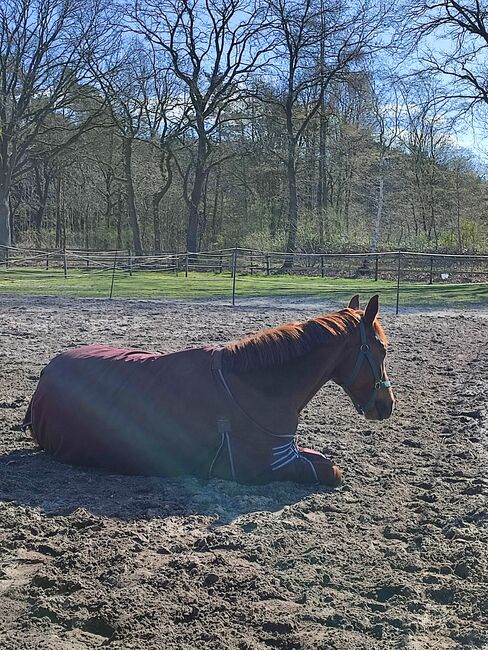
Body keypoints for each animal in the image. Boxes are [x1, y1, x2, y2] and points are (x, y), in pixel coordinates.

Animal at [23, 294, 396, 486]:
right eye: (381, 349)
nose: (387, 404)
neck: (260, 387)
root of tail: (47, 371)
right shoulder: (265, 467)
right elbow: (331, 471)